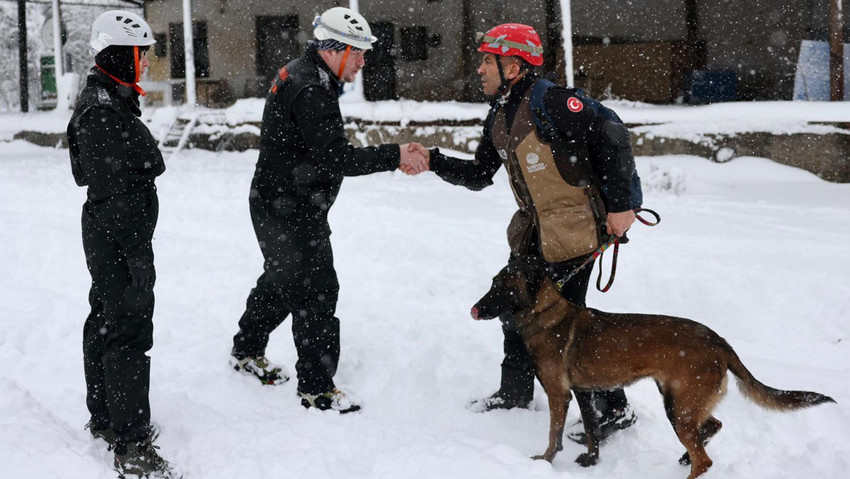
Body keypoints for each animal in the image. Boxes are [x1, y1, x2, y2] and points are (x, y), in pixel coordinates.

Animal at [470, 256, 836, 479]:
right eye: (493, 282)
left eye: (502, 286)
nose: (474, 309)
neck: (545, 312)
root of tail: (720, 341)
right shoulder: (584, 392)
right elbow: (591, 431)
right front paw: (591, 460)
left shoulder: (559, 394)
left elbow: (553, 434)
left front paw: (544, 462)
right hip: (682, 401)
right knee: (713, 426)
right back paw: (685, 456)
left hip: (679, 408)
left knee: (705, 459)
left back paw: (690, 463)